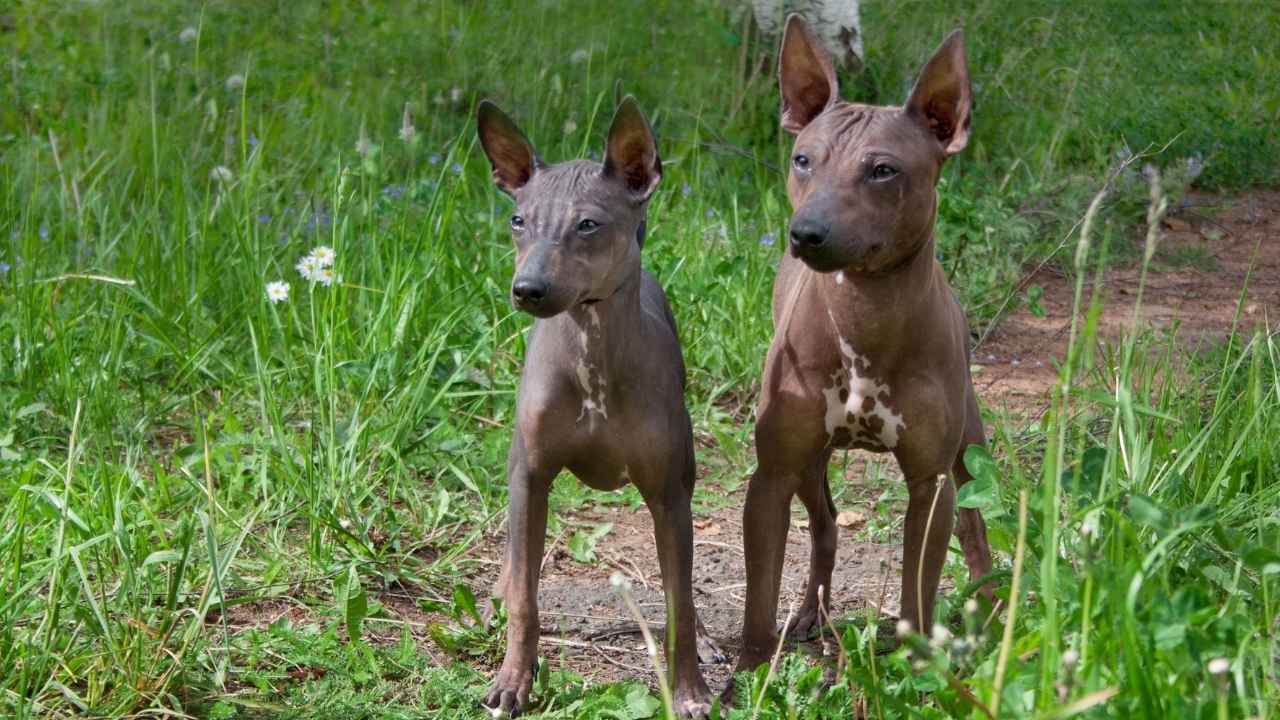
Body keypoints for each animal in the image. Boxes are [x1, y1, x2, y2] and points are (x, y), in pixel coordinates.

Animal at [481, 96, 721, 717]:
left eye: (587, 224)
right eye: (518, 221)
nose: (527, 289)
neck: (592, 355)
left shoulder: (667, 492)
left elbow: (679, 601)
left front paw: (689, 691)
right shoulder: (530, 477)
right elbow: (526, 597)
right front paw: (513, 681)